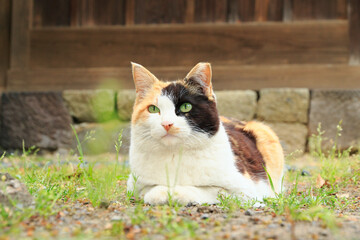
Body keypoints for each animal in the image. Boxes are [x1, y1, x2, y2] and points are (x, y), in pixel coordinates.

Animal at [126, 62, 284, 204]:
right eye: (153, 109)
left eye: (186, 106)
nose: (167, 124)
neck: (175, 155)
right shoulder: (134, 185)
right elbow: (147, 189)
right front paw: (160, 193)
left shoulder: (246, 190)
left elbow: (209, 190)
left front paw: (173, 193)